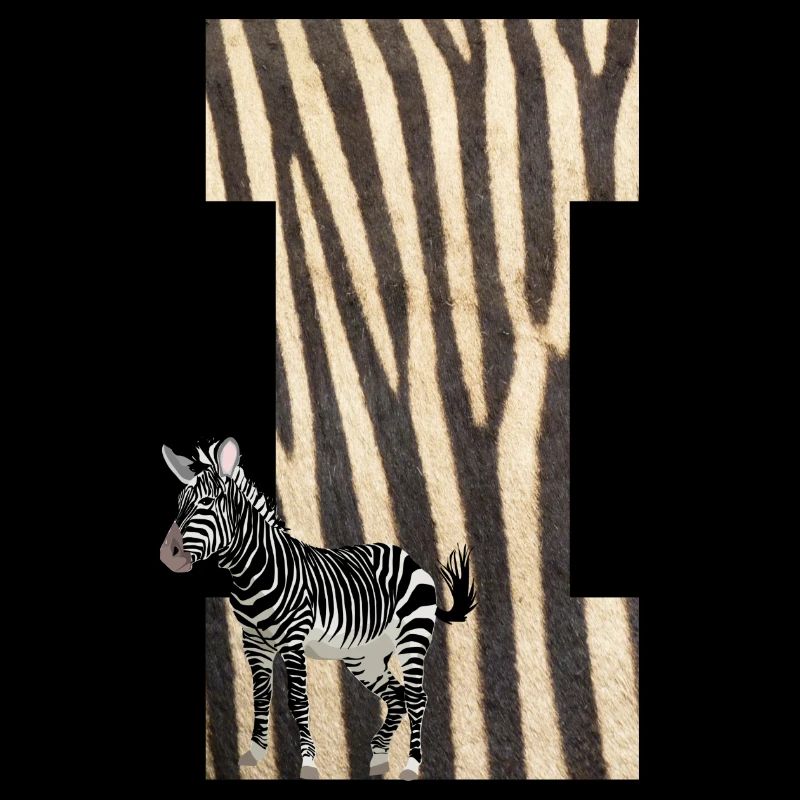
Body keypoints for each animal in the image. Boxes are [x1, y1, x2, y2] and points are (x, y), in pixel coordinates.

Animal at [160, 436, 477, 780]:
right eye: (179, 502)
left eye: (208, 502)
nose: (167, 554)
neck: (255, 573)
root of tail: (411, 560)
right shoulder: (254, 643)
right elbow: (261, 695)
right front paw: (256, 750)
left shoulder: (293, 641)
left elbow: (298, 701)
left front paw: (308, 762)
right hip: (364, 656)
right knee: (397, 696)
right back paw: (379, 754)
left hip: (412, 638)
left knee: (417, 698)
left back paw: (410, 764)